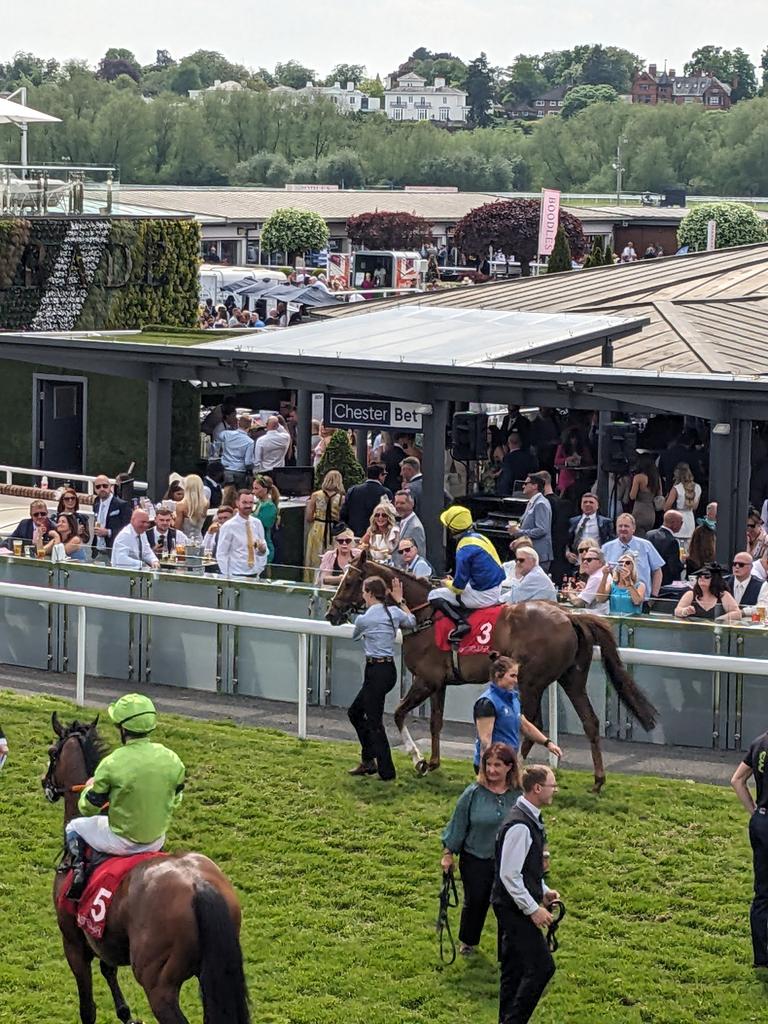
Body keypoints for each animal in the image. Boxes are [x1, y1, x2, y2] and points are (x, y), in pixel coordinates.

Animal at [44, 712, 252, 1024]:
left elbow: (87, 1008)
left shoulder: (73, 942)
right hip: (213, 972)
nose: (46, 784)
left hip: (158, 983)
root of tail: (199, 886)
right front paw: (125, 1013)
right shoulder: (103, 935)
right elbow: (108, 968)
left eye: (52, 753)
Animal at [327, 552, 659, 790]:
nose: (331, 612)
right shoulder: (439, 683)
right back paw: (598, 780)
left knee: (531, 724)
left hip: (530, 682)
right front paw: (433, 762)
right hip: (572, 679)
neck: (422, 613)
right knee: (590, 722)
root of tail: (569, 616)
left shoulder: (426, 679)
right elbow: (435, 722)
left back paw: (512, 769)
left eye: (348, 582)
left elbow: (397, 714)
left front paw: (418, 760)